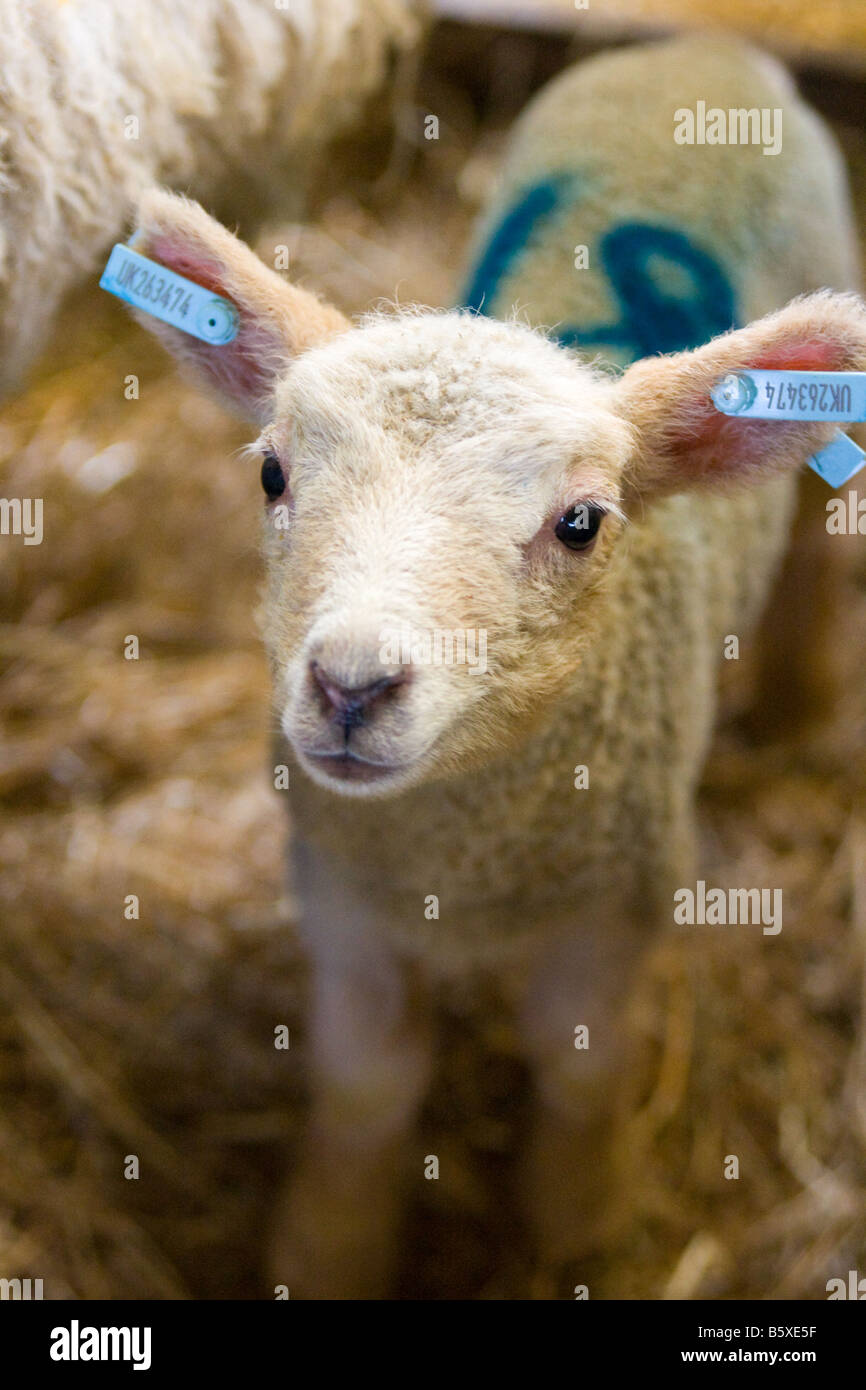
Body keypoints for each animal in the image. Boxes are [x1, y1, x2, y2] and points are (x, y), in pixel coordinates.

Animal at [121, 35, 865, 1299]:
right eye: (270, 473)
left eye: (580, 523)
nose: (351, 686)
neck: (460, 856)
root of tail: (704, 46)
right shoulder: (343, 899)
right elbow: (367, 1083)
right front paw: (331, 1247)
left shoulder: (617, 900)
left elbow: (579, 1067)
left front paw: (577, 1221)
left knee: (818, 554)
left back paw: (803, 713)